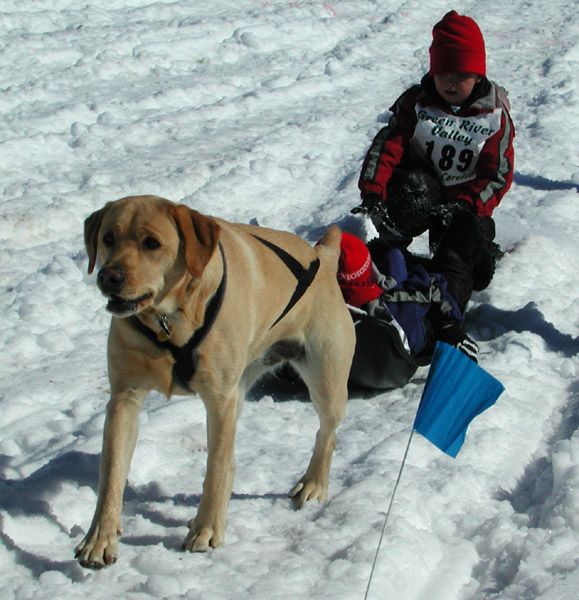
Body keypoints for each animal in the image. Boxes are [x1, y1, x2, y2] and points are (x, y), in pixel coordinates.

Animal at [75, 196, 356, 568]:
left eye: (152, 243)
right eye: (108, 238)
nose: (109, 276)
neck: (169, 322)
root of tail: (320, 256)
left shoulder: (220, 400)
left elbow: (216, 468)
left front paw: (206, 529)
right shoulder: (125, 397)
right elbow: (112, 474)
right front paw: (99, 538)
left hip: (326, 380)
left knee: (327, 433)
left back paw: (313, 483)